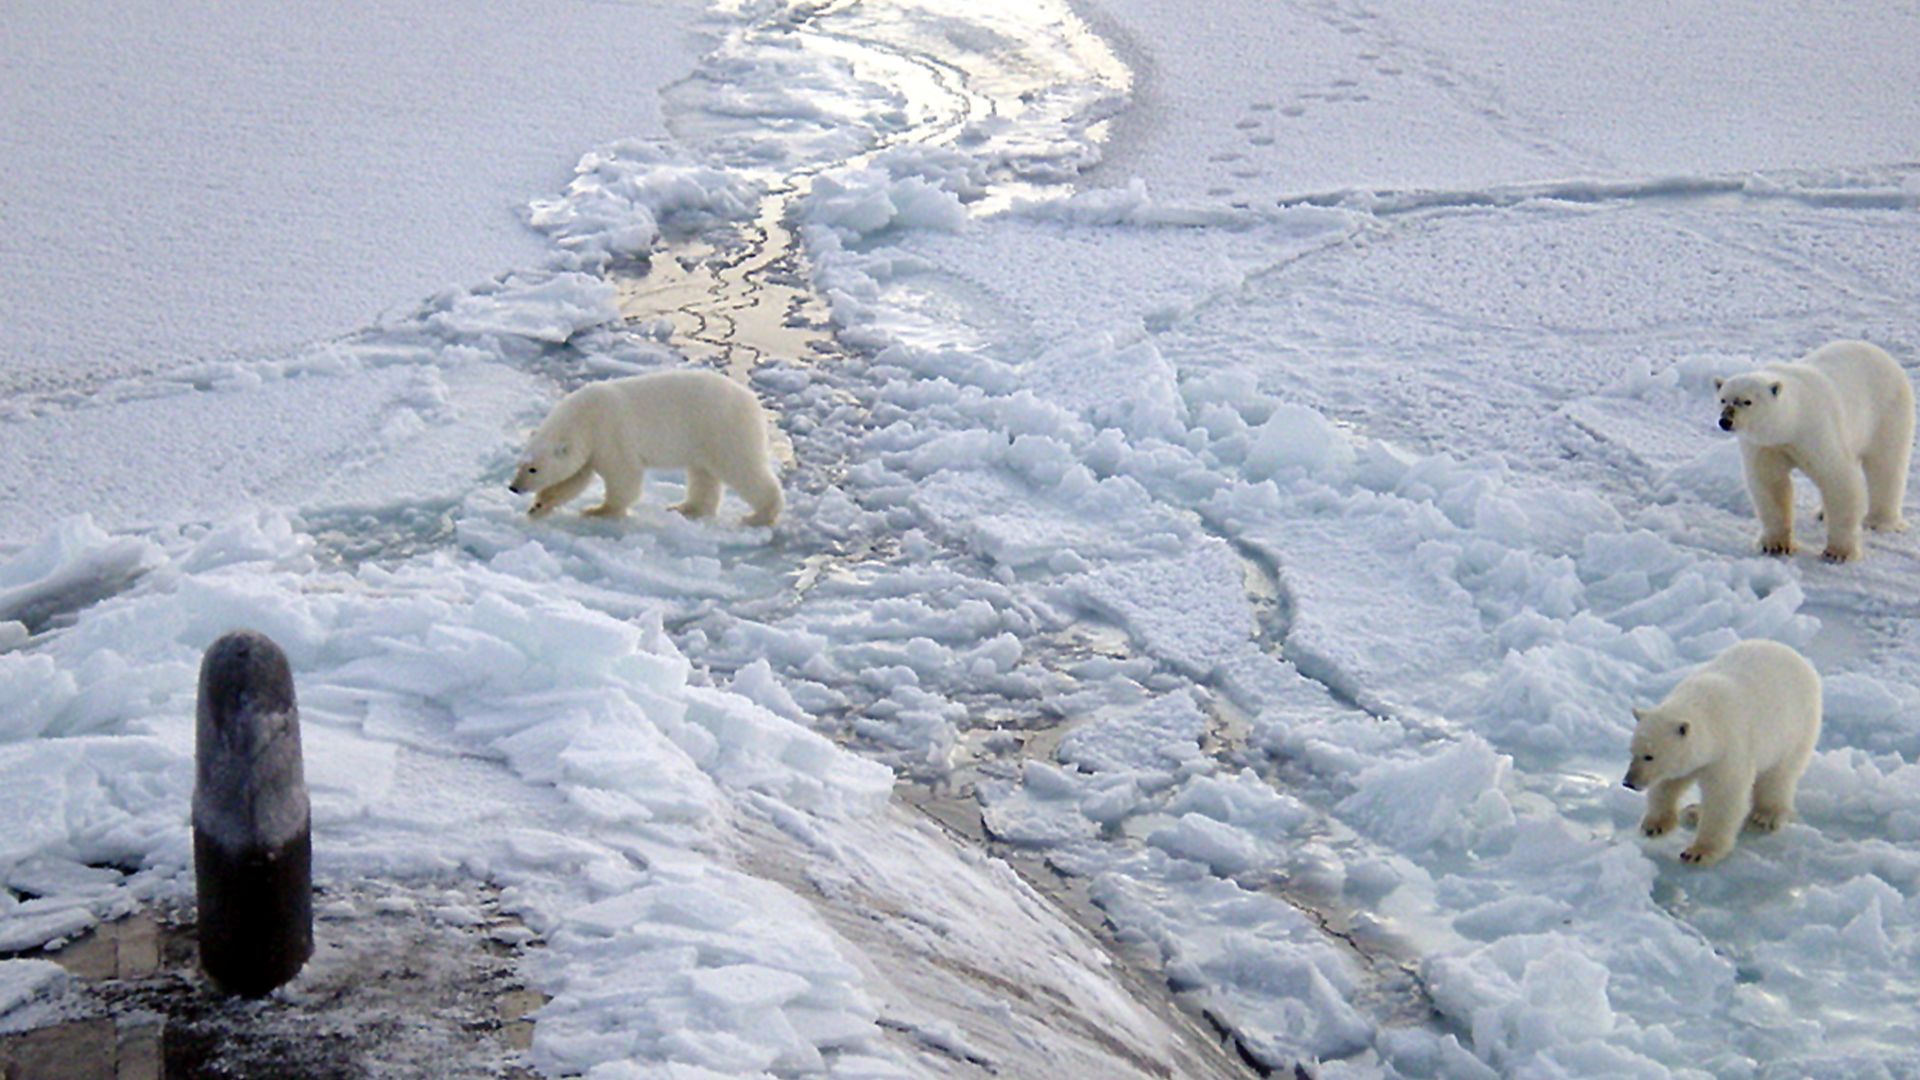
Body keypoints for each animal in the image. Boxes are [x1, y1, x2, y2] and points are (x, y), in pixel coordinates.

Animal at [509, 369, 783, 527]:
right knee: (703, 474)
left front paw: (598, 511)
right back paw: (687, 508)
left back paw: (760, 515)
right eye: (520, 464)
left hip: (723, 429)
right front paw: (538, 507)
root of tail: (753, 402)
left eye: (533, 469)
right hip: (703, 439)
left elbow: (624, 476)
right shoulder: (588, 446)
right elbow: (573, 479)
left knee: (742, 468)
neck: (584, 416)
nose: (514, 487)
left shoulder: (609, 434)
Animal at [1622, 639, 1821, 866]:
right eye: (1632, 751)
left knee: (1779, 776)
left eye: (1649, 756)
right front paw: (1655, 825)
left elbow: (1724, 796)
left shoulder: (1729, 748)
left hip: (1796, 730)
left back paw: (1764, 816)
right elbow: (1668, 784)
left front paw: (1697, 852)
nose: (1628, 782)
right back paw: (1694, 811)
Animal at [1715, 339, 1914, 562]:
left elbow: (1838, 479)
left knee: (1886, 465)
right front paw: (1776, 545)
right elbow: (1770, 484)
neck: (1793, 420)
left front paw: (1838, 552)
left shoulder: (1816, 430)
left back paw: (1879, 521)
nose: (1725, 421)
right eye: (1723, 399)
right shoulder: (1766, 446)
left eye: (1747, 401)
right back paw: (1822, 513)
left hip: (1888, 411)